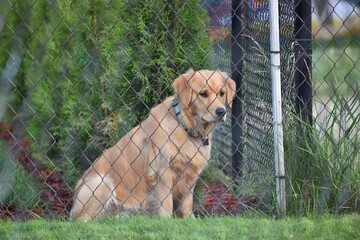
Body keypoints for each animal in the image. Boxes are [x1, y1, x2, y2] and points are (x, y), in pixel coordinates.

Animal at [70, 69, 236, 219]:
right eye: (203, 94)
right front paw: (166, 221)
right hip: (102, 182)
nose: (221, 111)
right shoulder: (162, 172)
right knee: (82, 220)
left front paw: (190, 220)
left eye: (222, 93)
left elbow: (187, 204)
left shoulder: (190, 176)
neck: (185, 126)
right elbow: (166, 203)